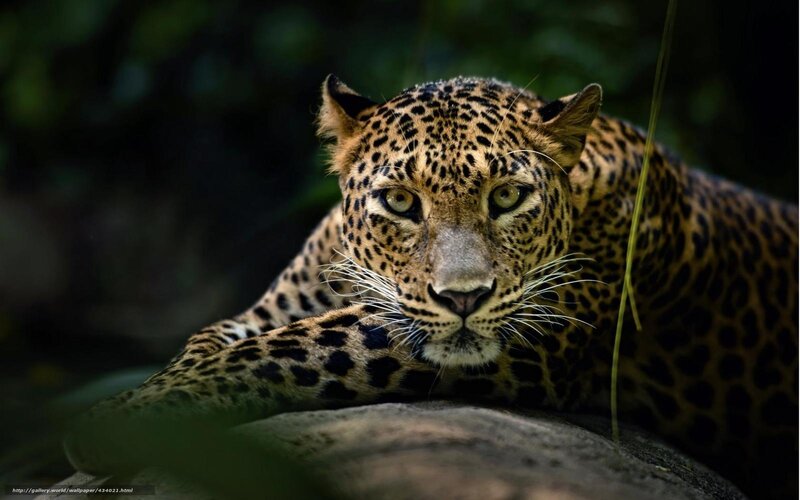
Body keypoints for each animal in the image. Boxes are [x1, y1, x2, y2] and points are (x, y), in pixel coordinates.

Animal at [63, 75, 798, 499]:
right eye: (399, 202)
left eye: (507, 197)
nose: (465, 297)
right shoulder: (283, 302)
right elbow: (216, 338)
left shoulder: (526, 332)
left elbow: (287, 350)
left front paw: (118, 421)